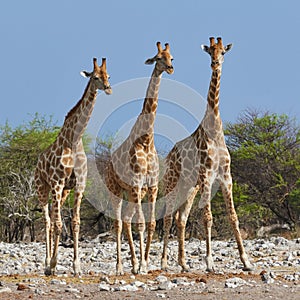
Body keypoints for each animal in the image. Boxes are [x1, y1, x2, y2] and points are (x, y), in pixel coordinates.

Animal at [34, 57, 111, 276]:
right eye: (95, 77)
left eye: (108, 76)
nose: (108, 88)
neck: (74, 140)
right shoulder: (57, 182)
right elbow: (59, 224)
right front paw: (53, 264)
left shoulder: (78, 185)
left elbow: (75, 223)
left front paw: (77, 267)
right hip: (43, 188)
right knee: (48, 221)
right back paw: (46, 265)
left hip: (62, 192)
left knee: (53, 220)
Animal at [105, 41, 175, 276]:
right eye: (158, 58)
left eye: (171, 57)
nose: (170, 68)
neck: (146, 139)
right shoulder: (136, 184)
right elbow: (142, 224)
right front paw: (143, 265)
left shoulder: (151, 187)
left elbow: (152, 223)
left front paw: (144, 263)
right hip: (117, 189)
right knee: (118, 223)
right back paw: (119, 267)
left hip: (134, 193)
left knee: (126, 220)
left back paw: (134, 264)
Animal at [161, 37, 252, 272]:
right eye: (210, 51)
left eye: (223, 52)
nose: (215, 64)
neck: (215, 130)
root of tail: (169, 155)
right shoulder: (207, 176)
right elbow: (208, 218)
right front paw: (210, 261)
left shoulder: (226, 177)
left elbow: (233, 217)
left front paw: (246, 261)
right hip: (172, 183)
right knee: (167, 218)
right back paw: (164, 262)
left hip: (189, 187)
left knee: (181, 218)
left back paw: (183, 263)